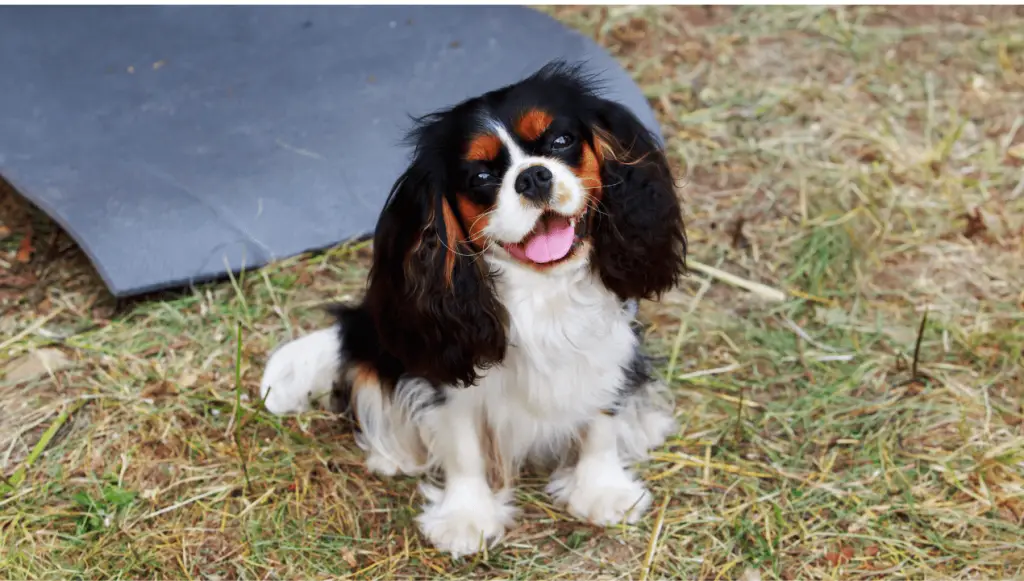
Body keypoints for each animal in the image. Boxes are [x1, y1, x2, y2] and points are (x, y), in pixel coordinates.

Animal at [256, 61, 688, 557]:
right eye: (481, 179)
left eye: (562, 141)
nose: (532, 176)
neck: (542, 287)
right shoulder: (449, 370)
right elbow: (462, 448)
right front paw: (466, 517)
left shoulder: (608, 347)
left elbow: (601, 420)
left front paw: (601, 491)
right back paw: (395, 454)